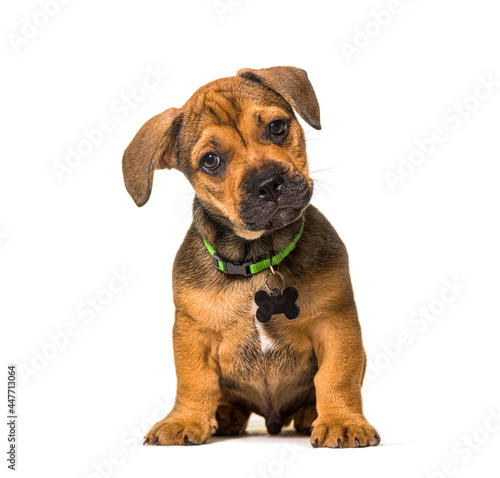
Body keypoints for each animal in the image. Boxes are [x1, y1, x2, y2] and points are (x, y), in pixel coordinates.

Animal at [123, 66, 380, 448]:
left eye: (277, 127)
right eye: (210, 161)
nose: (269, 182)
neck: (258, 256)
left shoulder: (335, 323)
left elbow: (337, 376)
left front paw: (341, 421)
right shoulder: (192, 333)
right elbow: (193, 381)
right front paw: (184, 419)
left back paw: (309, 414)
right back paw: (225, 414)